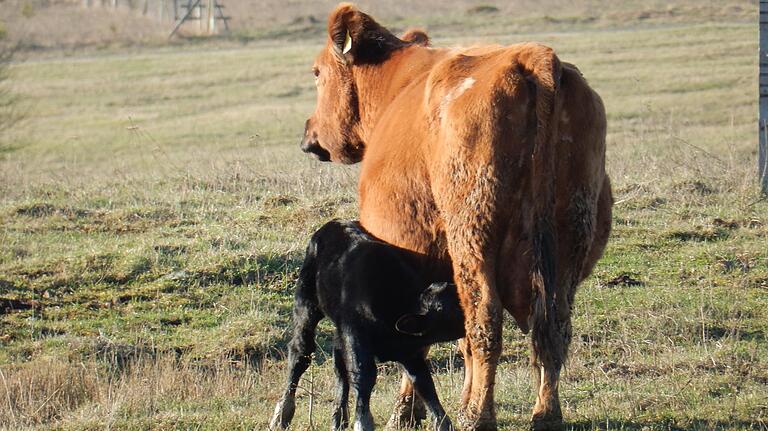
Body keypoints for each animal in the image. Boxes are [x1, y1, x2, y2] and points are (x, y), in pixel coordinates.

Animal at [270, 221, 462, 431]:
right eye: (450, 307)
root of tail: (333, 224)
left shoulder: (411, 353)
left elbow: (425, 385)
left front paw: (444, 423)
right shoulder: (355, 334)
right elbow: (363, 375)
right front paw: (362, 422)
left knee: (339, 362)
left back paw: (339, 418)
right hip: (306, 305)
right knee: (301, 352)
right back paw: (282, 414)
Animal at [298, 2, 612, 428]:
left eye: (317, 72)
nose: (309, 135)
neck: (398, 85)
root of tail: (531, 57)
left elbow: (418, 343)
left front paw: (407, 411)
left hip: (473, 237)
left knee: (485, 322)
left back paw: (479, 414)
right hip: (568, 240)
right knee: (552, 327)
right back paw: (544, 413)